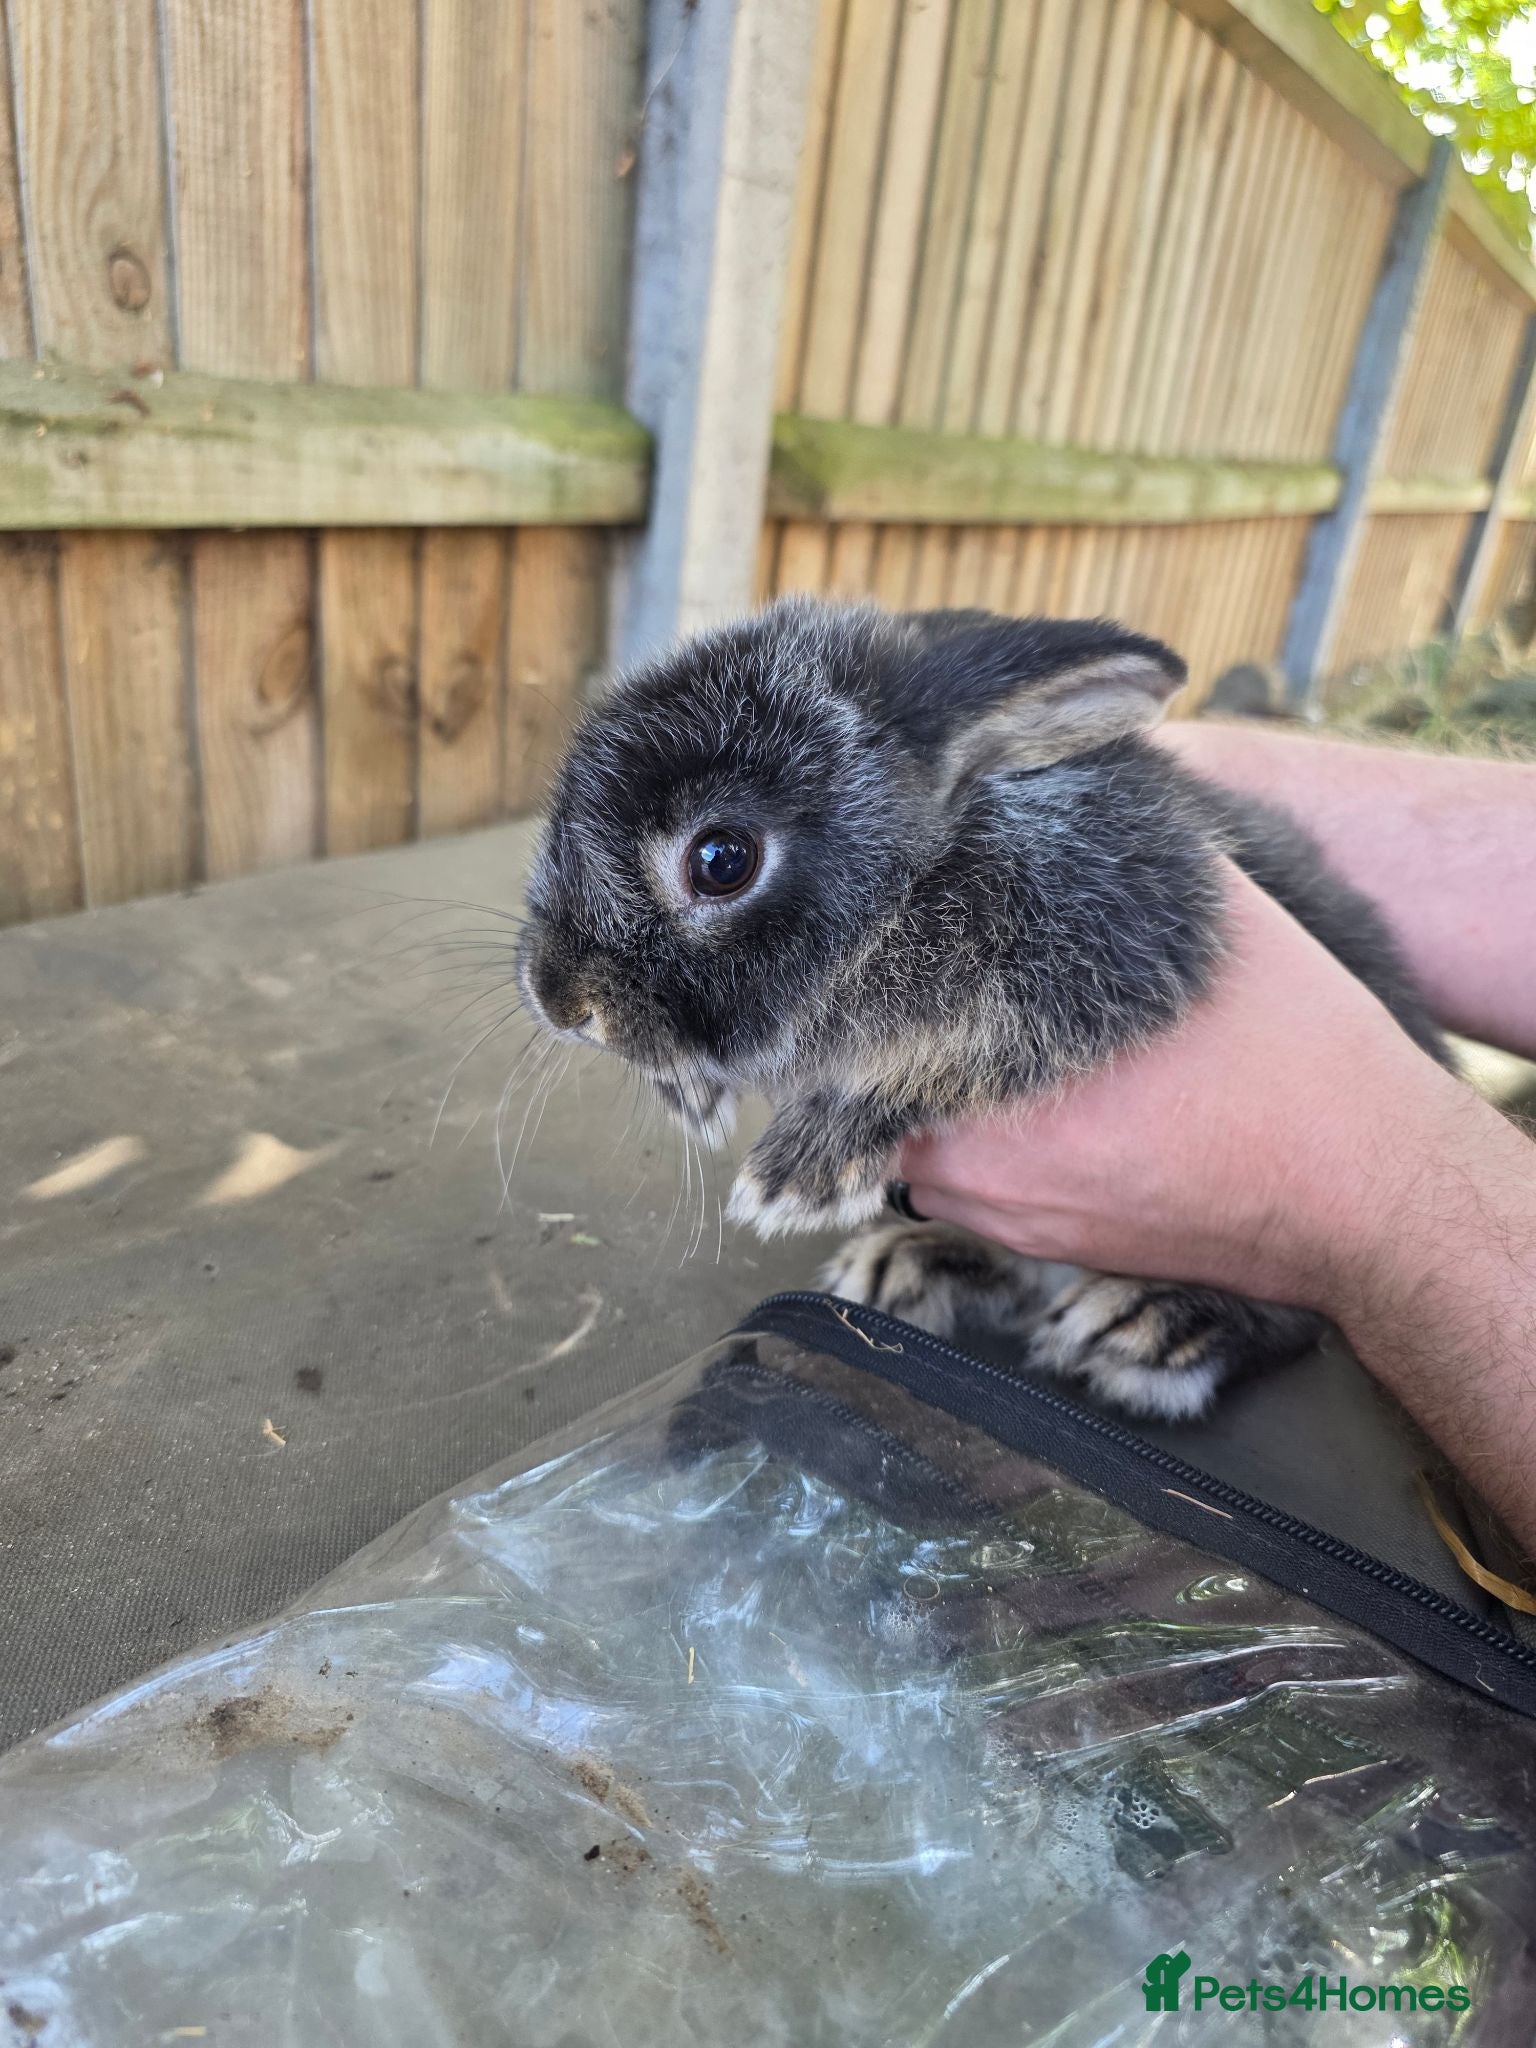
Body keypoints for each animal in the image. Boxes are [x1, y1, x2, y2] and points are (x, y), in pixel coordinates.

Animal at [517, 597, 1449, 1421]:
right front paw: (693, 1096)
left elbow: (961, 1051)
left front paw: (802, 1170)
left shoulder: (1111, 941)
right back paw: (911, 1263)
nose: (559, 998)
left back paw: (1152, 1322)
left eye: (720, 859)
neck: (915, 881)